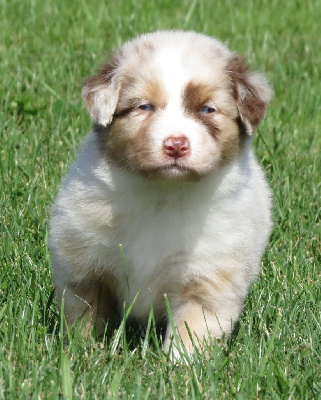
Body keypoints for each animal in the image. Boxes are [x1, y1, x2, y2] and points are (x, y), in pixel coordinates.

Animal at [48, 29, 272, 358]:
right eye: (145, 107)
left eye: (207, 109)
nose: (175, 144)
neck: (162, 193)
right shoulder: (85, 267)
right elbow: (86, 319)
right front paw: (83, 356)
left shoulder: (207, 280)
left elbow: (190, 335)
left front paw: (177, 368)